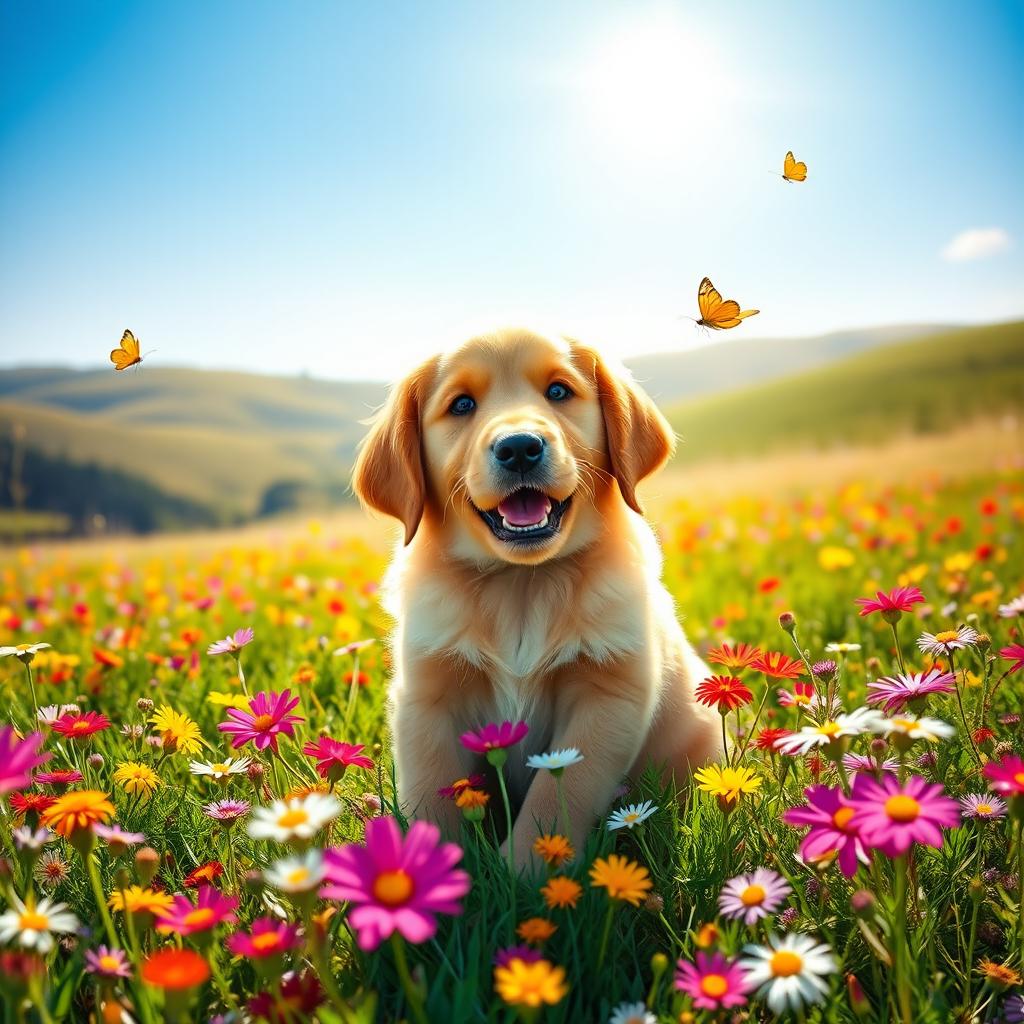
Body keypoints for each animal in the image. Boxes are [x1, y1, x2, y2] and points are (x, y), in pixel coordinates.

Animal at [356, 325, 724, 864]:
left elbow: (557, 797)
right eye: (461, 404)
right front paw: (425, 870)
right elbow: (431, 792)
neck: (521, 583)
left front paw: (524, 870)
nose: (519, 447)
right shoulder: (427, 695)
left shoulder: (607, 695)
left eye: (558, 391)